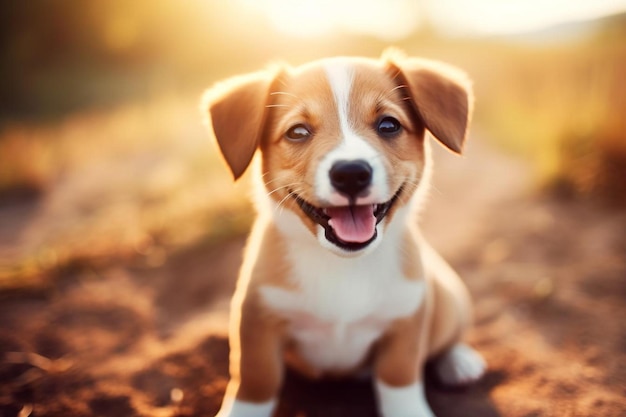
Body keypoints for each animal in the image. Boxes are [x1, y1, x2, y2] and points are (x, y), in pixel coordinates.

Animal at [202, 49, 486, 416]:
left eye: (389, 125)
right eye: (297, 132)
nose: (351, 173)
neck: (343, 265)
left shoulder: (406, 321)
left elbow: (399, 378)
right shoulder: (257, 323)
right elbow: (256, 381)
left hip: (448, 299)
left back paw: (459, 361)